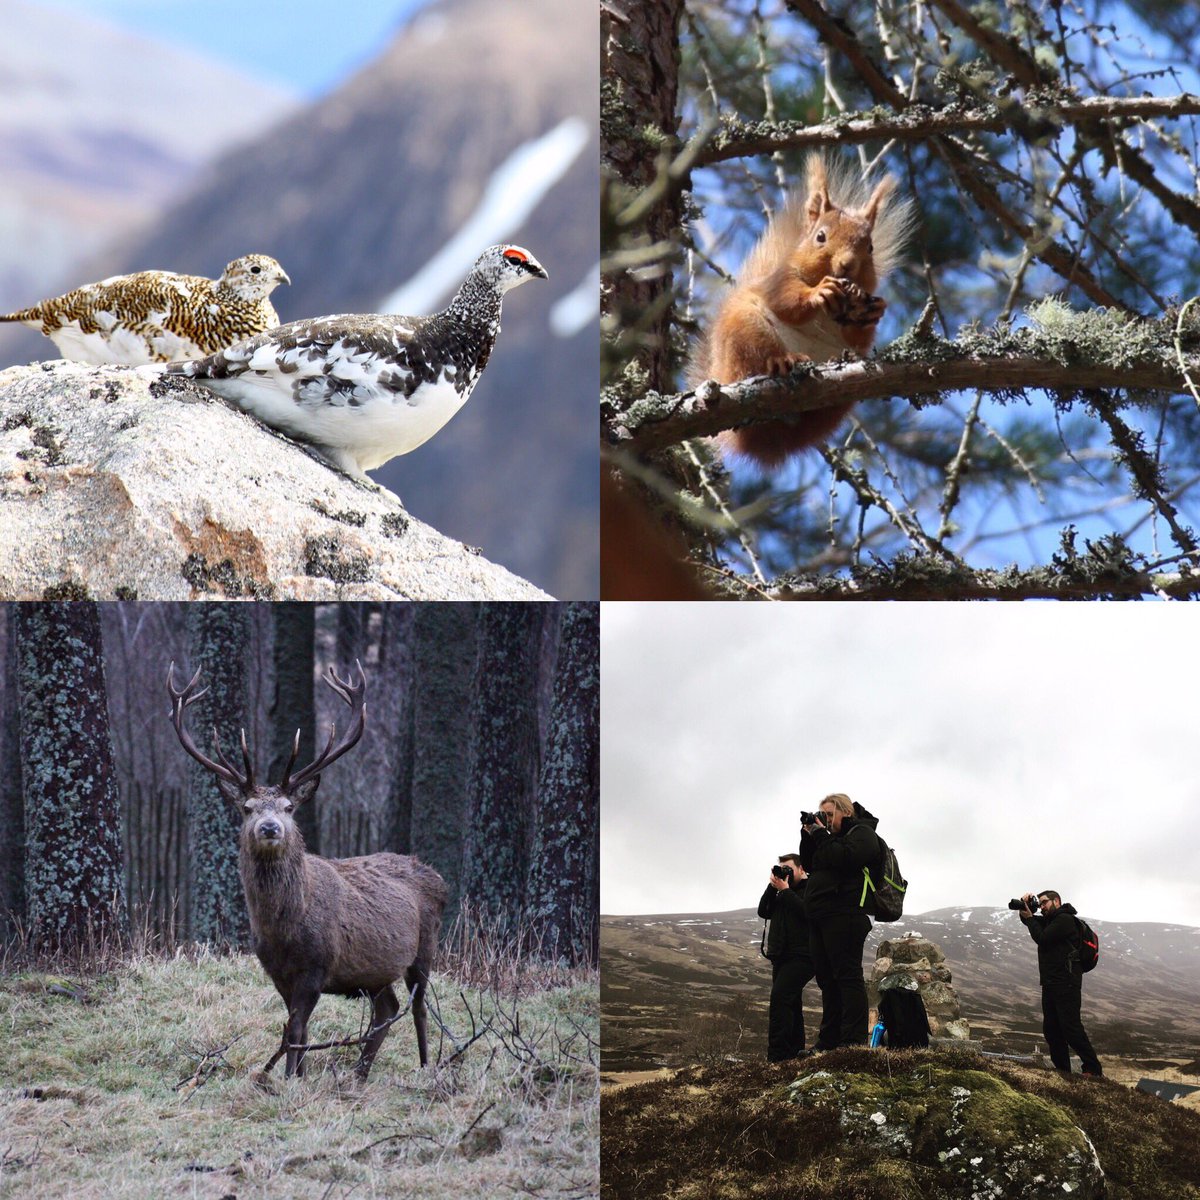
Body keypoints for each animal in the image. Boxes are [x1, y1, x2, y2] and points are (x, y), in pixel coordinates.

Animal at [696, 154, 907, 463]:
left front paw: (871, 310)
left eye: (870, 248)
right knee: (755, 359)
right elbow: (785, 302)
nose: (847, 264)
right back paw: (782, 361)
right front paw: (818, 293)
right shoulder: (779, 281)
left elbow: (858, 336)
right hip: (747, 331)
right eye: (820, 237)